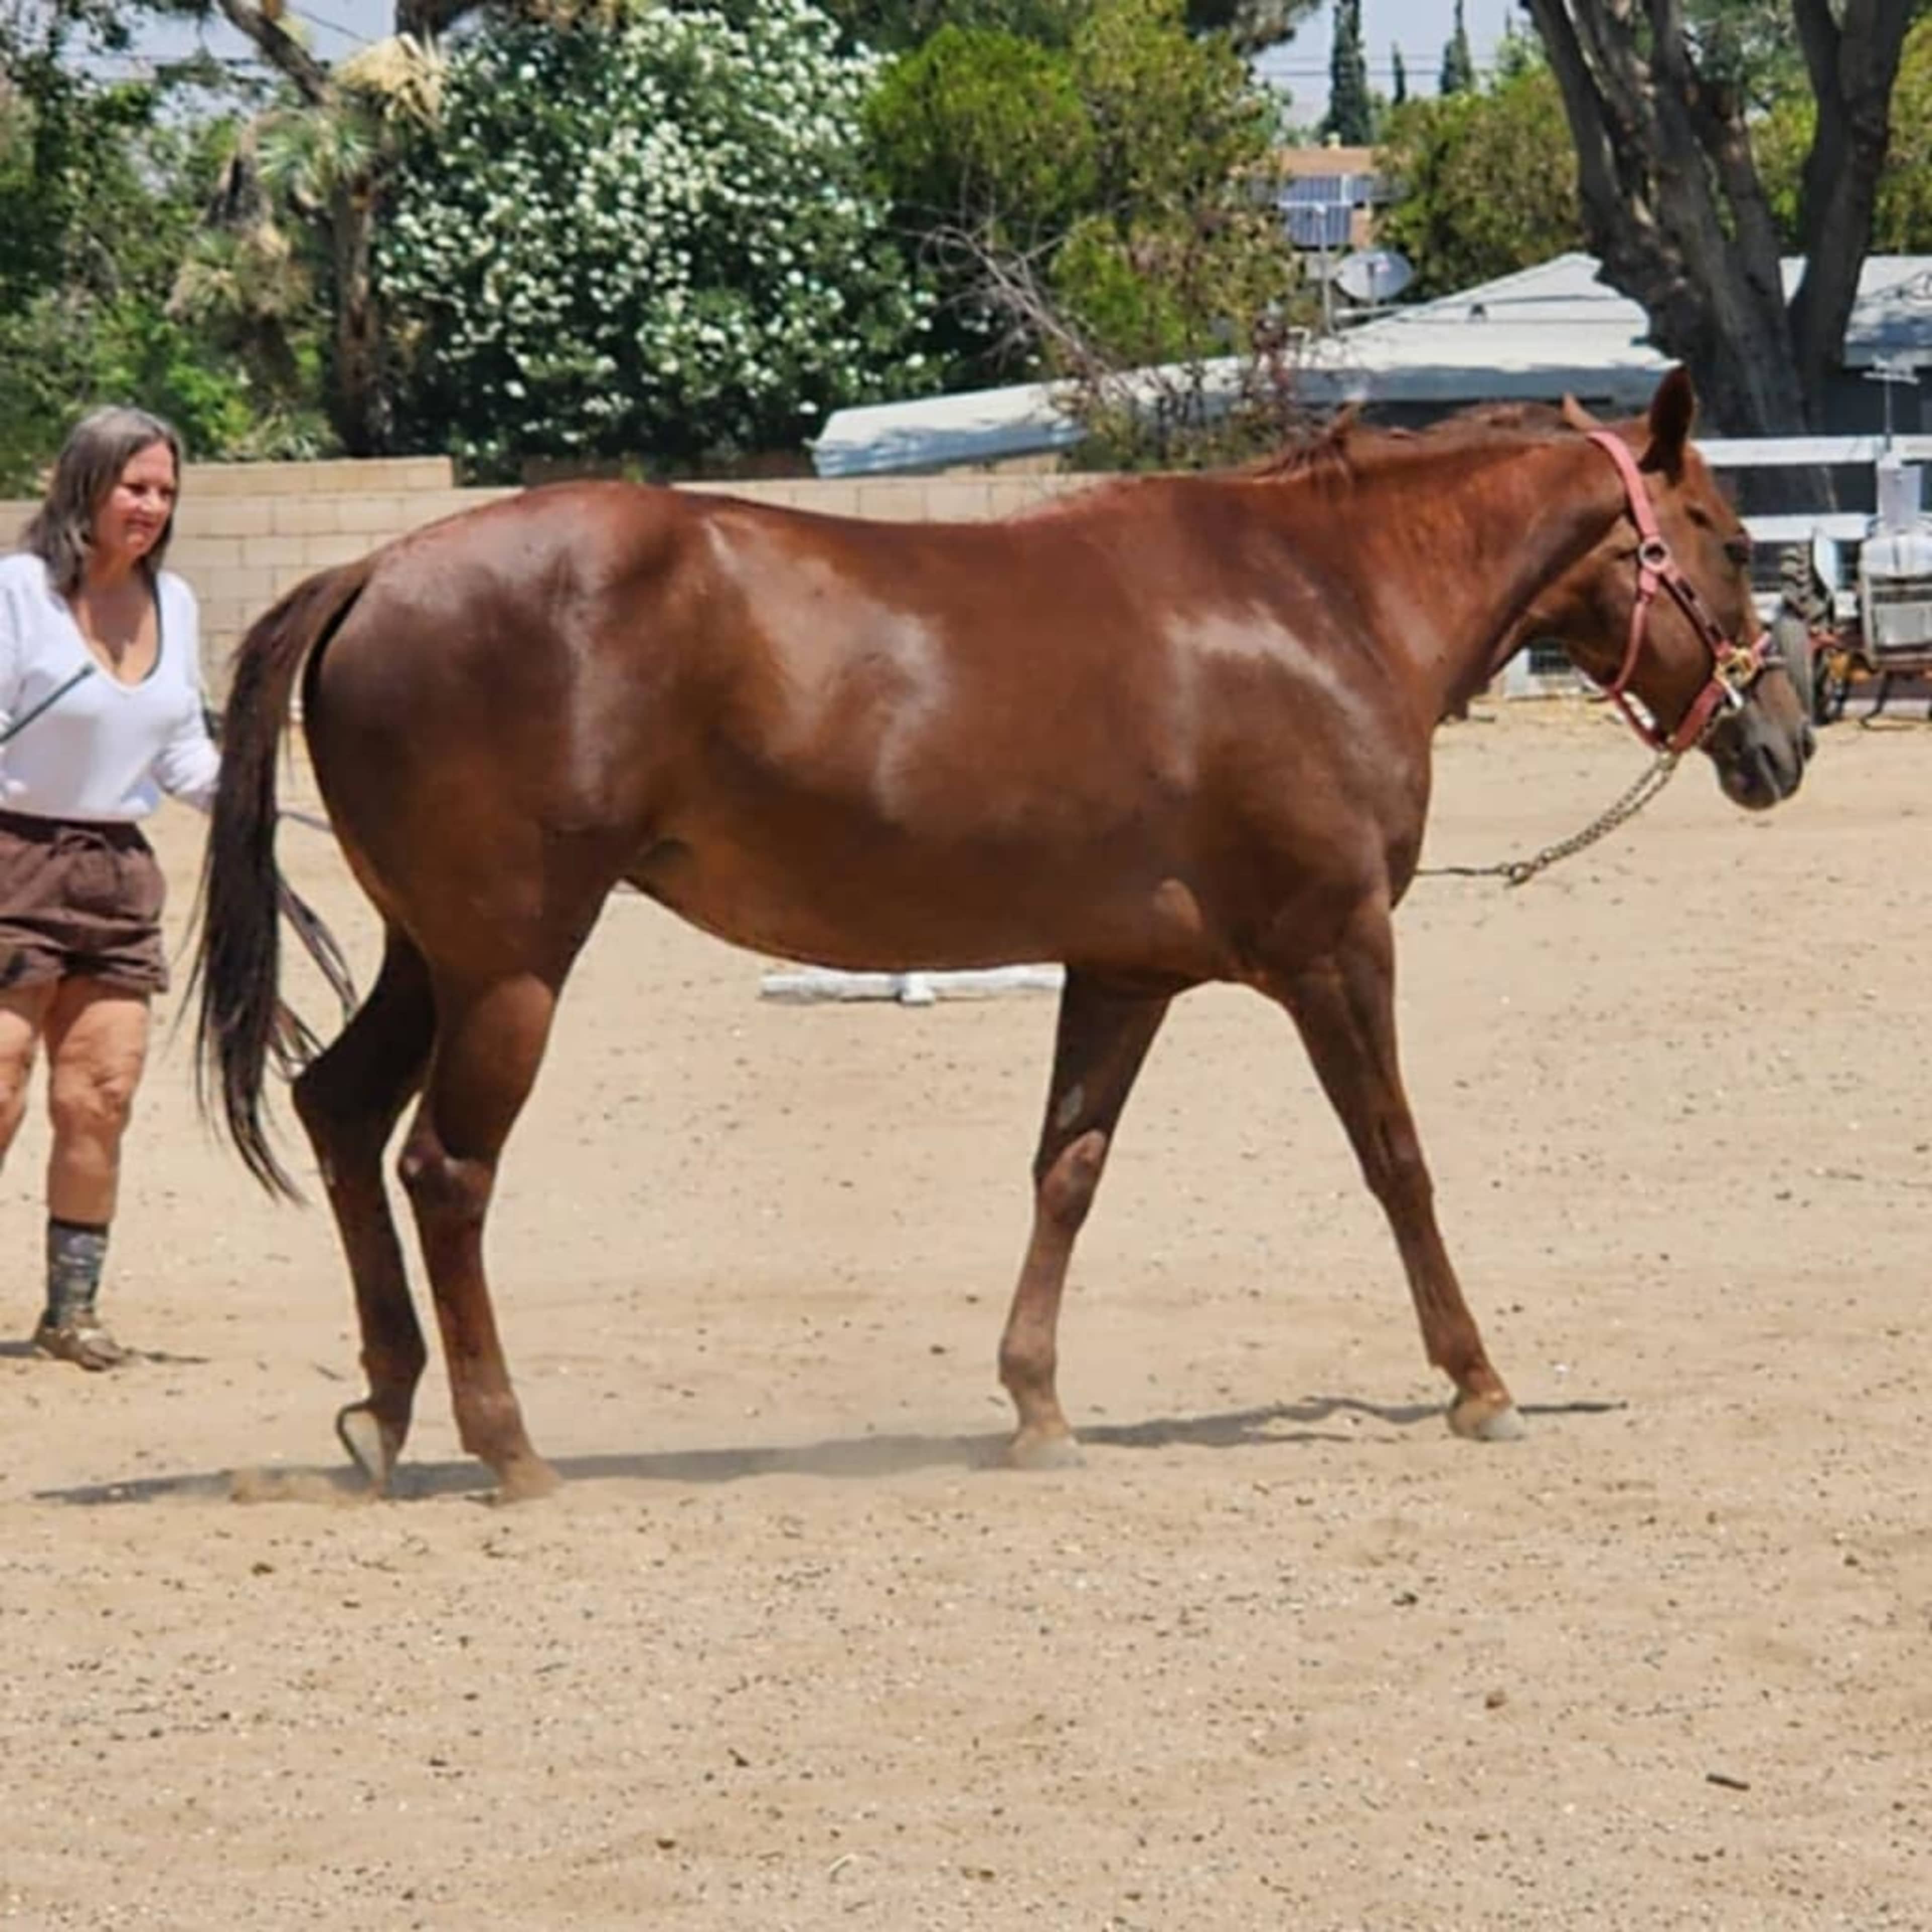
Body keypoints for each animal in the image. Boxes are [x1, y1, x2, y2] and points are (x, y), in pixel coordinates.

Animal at [193, 368, 1812, 1499]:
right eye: (1733, 542)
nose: (1782, 741)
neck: (1318, 601)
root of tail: (376, 569)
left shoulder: (1123, 970)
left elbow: (1066, 1170)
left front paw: (1035, 1405)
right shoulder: (1336, 953)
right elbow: (1396, 1162)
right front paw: (1478, 1381)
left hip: (436, 957)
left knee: (339, 1113)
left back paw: (385, 1409)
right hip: (515, 967)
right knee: (444, 1170)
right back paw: (508, 1443)